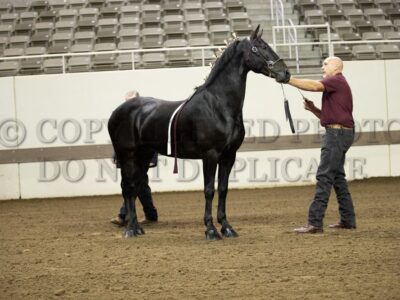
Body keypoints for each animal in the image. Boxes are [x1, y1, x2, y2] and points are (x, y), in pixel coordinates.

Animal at [108, 26, 290, 241]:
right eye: (259, 47)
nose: (285, 72)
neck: (219, 105)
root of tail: (116, 112)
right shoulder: (210, 155)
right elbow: (209, 190)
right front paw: (210, 230)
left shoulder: (229, 156)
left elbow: (223, 189)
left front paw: (227, 227)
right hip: (127, 155)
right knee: (128, 188)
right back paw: (130, 230)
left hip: (143, 156)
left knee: (135, 186)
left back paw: (137, 228)